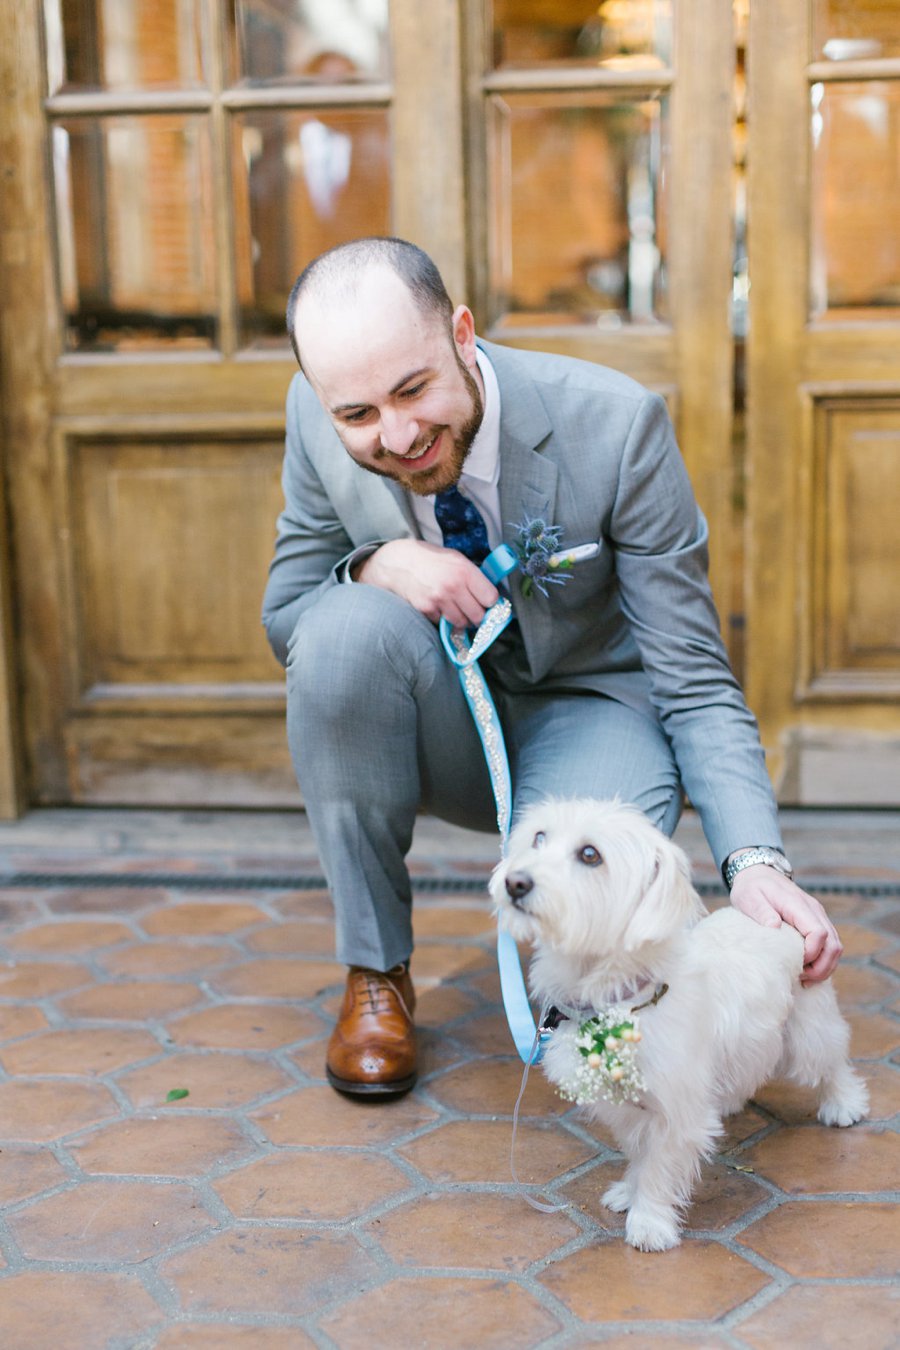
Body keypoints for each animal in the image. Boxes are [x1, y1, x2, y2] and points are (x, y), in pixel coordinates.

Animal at [488, 793, 868, 1247]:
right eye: (539, 837)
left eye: (590, 854)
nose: (515, 882)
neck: (620, 999)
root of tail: (779, 916)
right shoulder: (629, 1108)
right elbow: (639, 1152)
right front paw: (629, 1191)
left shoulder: (676, 1112)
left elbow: (659, 1165)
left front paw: (649, 1221)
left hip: (809, 1030)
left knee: (832, 1062)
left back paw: (844, 1104)